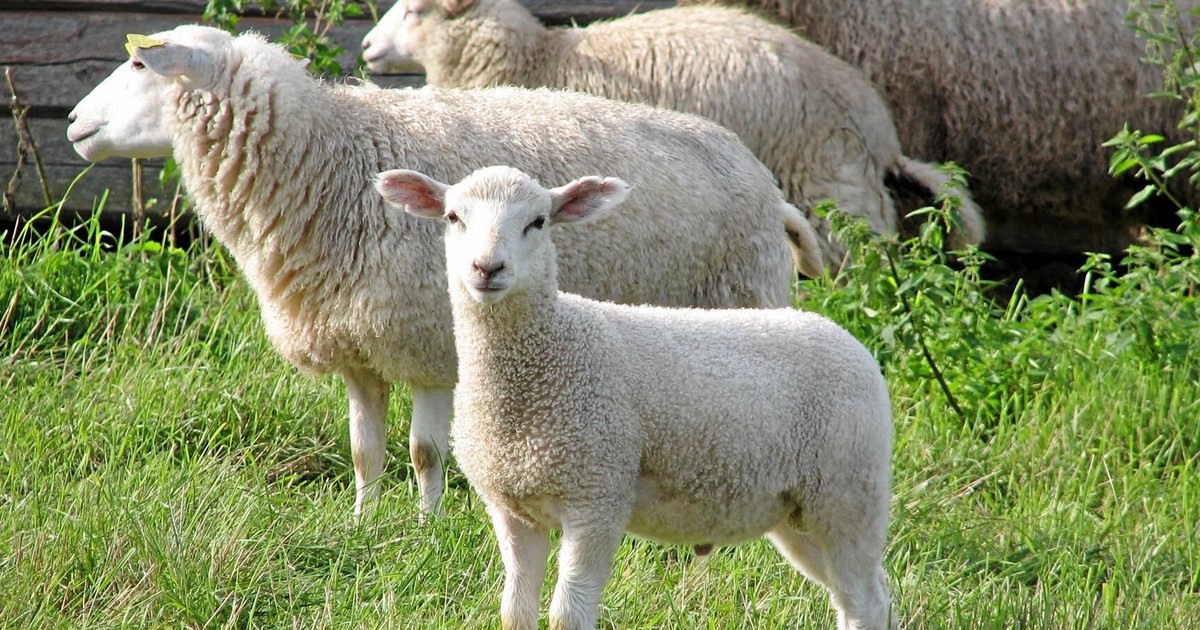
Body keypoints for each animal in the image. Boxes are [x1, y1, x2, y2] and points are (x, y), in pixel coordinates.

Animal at [66, 25, 827, 517]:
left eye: (140, 68)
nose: (72, 122)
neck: (333, 164)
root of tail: (768, 186)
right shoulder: (357, 348)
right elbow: (365, 451)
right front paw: (364, 522)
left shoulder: (429, 343)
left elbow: (424, 452)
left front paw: (426, 530)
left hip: (743, 311)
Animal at [374, 164, 895, 630]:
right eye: (453, 217)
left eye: (538, 221)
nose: (487, 268)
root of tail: (847, 339)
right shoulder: (513, 509)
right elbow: (515, 613)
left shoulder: (598, 496)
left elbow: (568, 615)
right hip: (795, 512)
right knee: (859, 598)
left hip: (848, 491)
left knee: (865, 602)